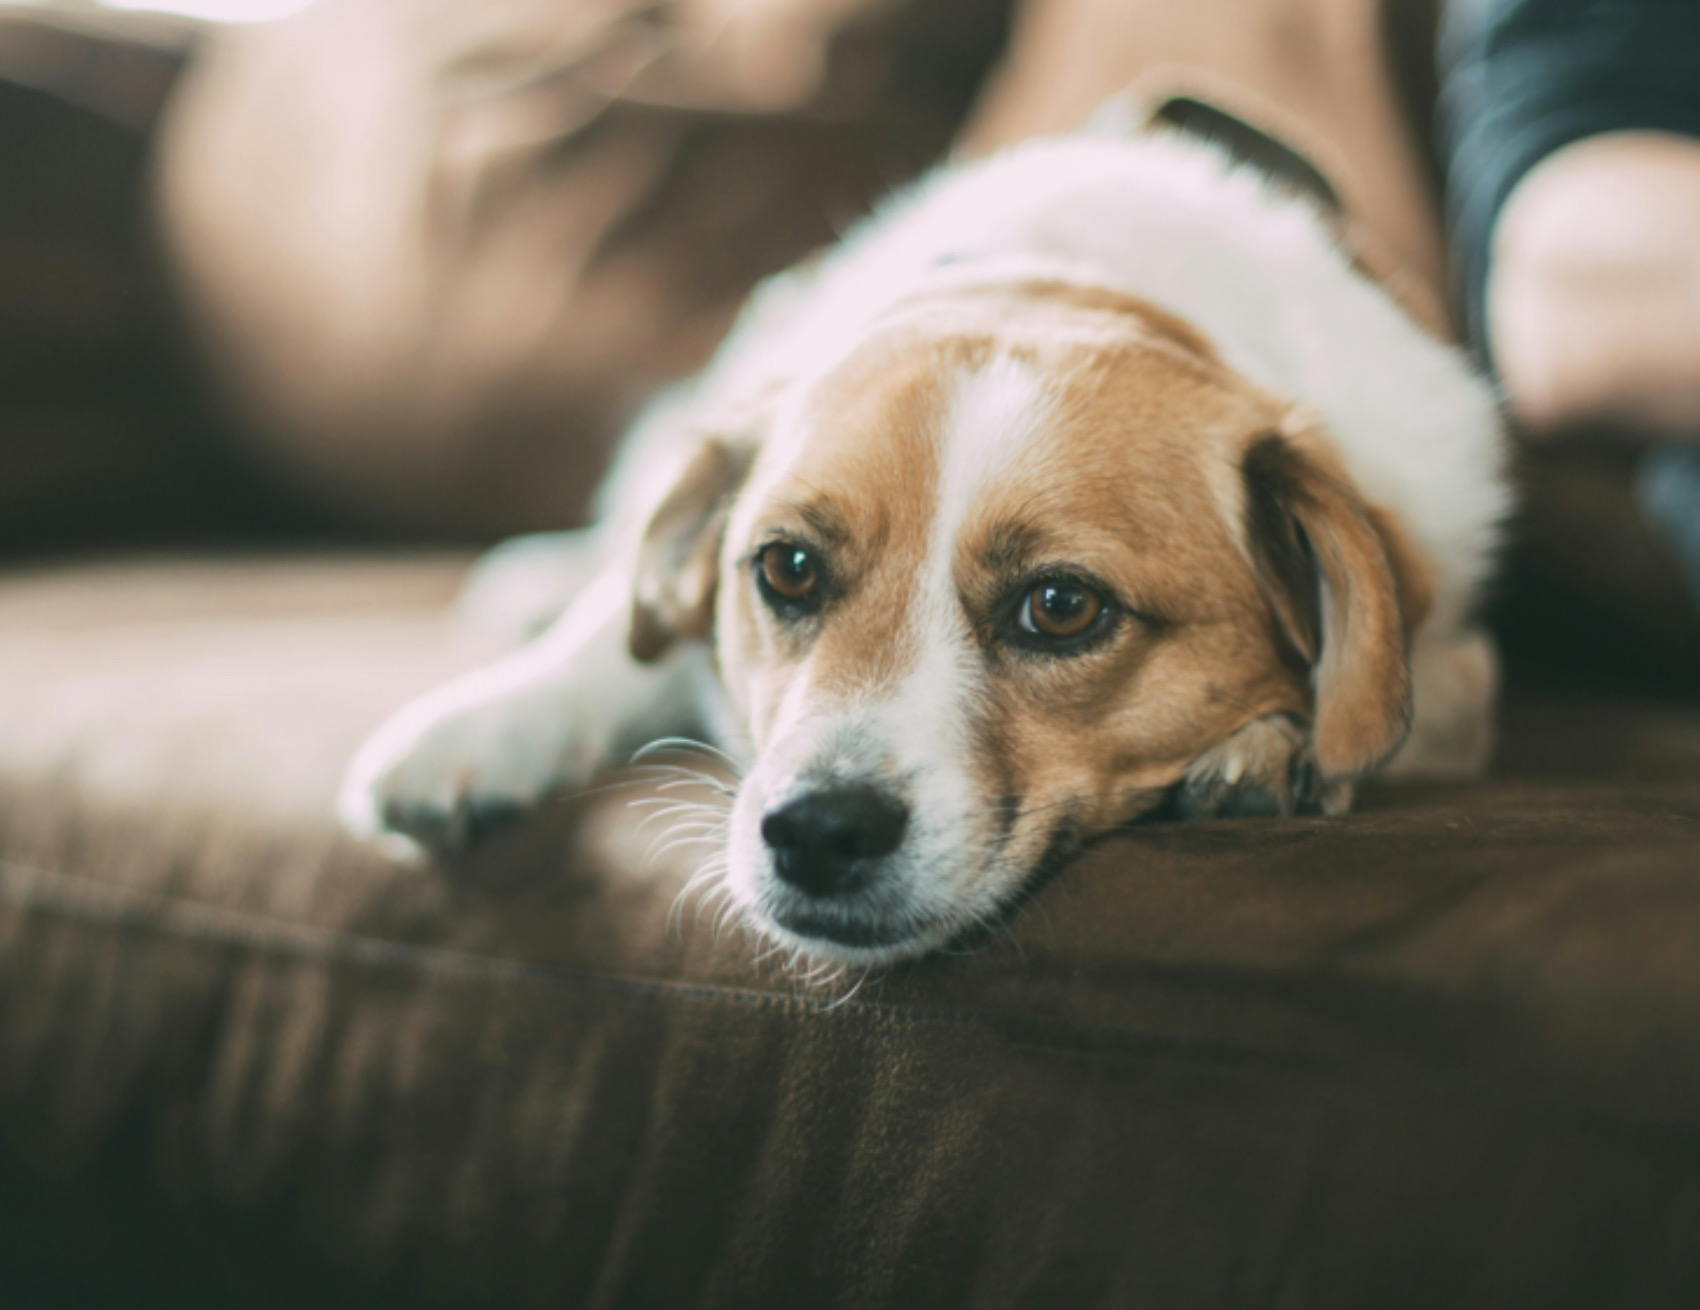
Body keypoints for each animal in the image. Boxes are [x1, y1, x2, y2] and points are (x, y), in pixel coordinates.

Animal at [338, 120, 1509, 965]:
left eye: (1061, 606)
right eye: (787, 568)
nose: (816, 832)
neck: (1063, 280)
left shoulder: (1454, 656)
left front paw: (1275, 746)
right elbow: (612, 637)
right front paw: (485, 725)